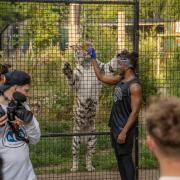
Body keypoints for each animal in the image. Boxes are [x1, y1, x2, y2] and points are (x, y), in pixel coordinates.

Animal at [62, 43, 119, 172]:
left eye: (88, 45)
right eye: (79, 47)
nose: (88, 50)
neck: (87, 64)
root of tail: (83, 137)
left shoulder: (103, 70)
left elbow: (110, 65)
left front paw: (121, 53)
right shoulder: (76, 82)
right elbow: (72, 77)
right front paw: (67, 69)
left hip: (93, 140)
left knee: (88, 155)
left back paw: (90, 167)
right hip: (75, 140)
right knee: (76, 155)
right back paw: (74, 168)